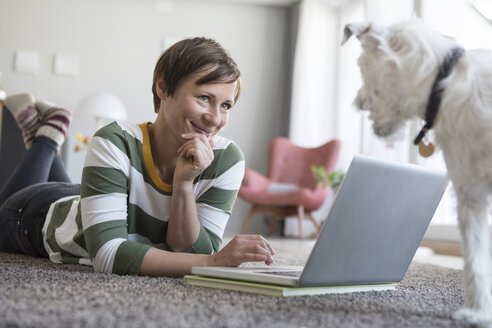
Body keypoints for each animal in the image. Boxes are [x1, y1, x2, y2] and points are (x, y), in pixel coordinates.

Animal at [342, 19, 492, 326]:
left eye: (362, 66)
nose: (357, 102)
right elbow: (477, 261)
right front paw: (479, 312)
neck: (443, 81)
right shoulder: (470, 193)